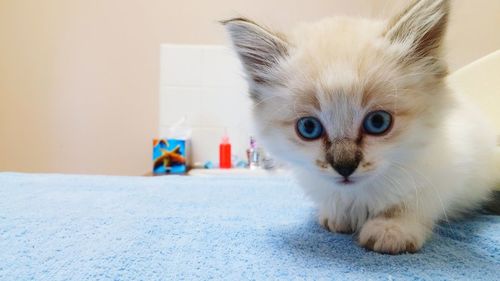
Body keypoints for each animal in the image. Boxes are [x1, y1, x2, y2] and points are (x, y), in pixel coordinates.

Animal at [225, 0, 498, 254]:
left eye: (378, 122)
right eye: (309, 128)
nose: (344, 166)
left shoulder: (450, 166)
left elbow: (414, 202)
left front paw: (392, 228)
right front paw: (337, 215)